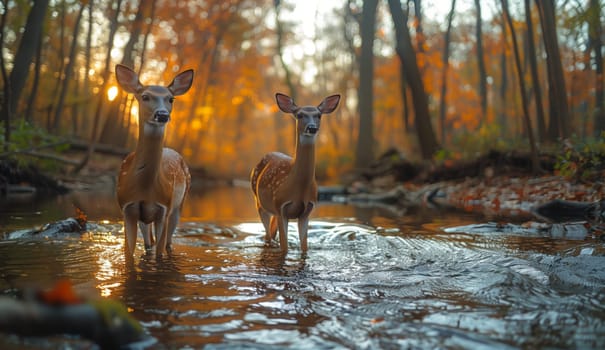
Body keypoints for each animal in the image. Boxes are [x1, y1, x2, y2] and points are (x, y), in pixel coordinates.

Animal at [111, 64, 191, 258]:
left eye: (171, 99)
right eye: (145, 96)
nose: (162, 115)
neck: (145, 189)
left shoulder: (164, 208)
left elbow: (159, 254)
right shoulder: (126, 209)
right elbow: (129, 255)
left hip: (180, 203)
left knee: (168, 242)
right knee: (149, 242)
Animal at [249, 92, 340, 252]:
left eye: (319, 115)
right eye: (299, 115)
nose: (312, 128)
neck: (299, 187)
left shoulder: (306, 211)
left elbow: (304, 247)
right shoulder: (280, 206)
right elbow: (285, 248)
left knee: (271, 232)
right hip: (259, 202)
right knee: (267, 235)